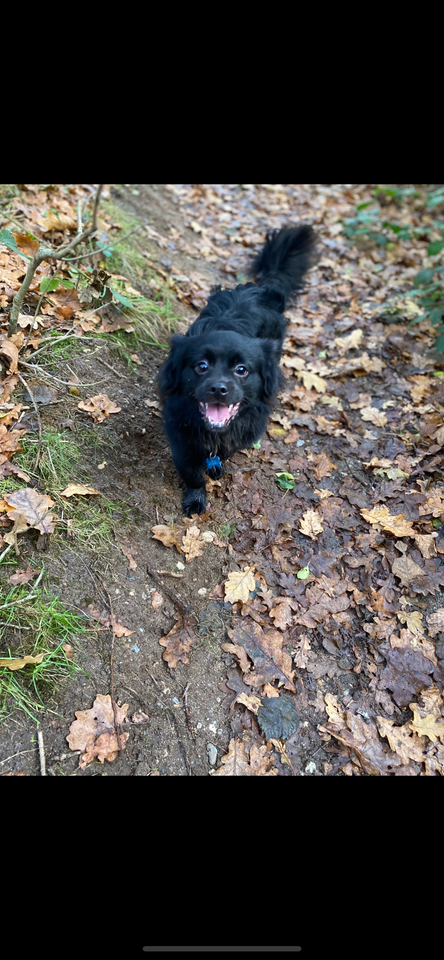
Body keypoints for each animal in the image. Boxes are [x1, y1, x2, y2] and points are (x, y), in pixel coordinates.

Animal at [158, 225, 318, 512]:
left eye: (241, 370)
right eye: (201, 366)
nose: (218, 388)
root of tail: (262, 287)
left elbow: (222, 454)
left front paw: (215, 466)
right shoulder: (181, 439)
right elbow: (191, 473)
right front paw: (196, 497)